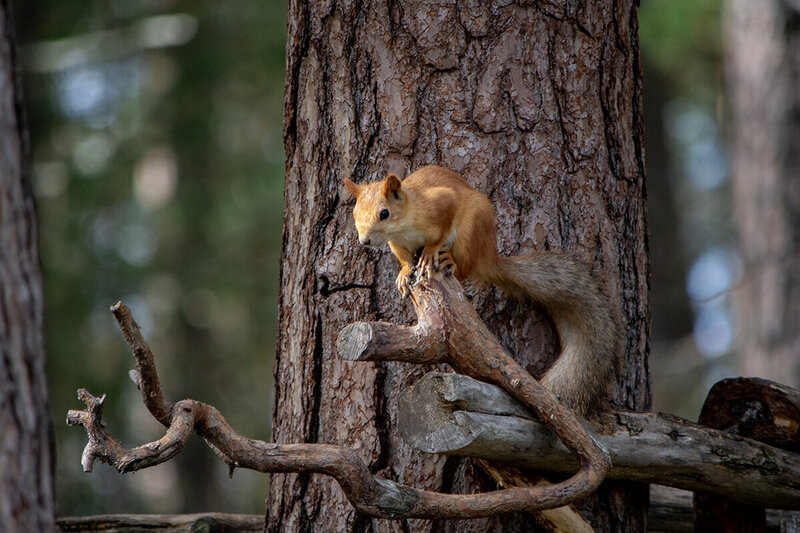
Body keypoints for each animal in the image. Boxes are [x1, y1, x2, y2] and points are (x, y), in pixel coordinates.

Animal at [343, 165, 621, 416]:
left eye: (384, 213)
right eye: (355, 213)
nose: (364, 241)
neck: (404, 225)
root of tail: (489, 257)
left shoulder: (441, 203)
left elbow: (440, 231)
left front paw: (431, 250)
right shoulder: (397, 244)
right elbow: (403, 259)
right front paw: (403, 273)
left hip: (472, 227)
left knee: (465, 267)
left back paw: (448, 260)